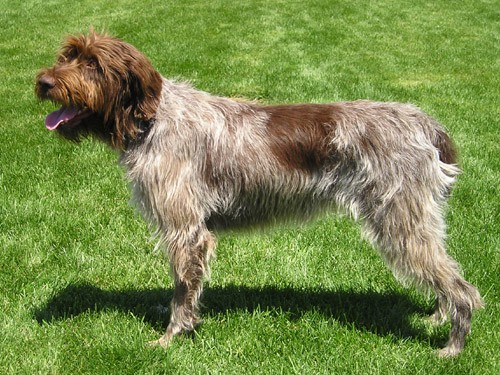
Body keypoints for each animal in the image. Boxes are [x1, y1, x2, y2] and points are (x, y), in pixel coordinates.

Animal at [34, 30, 480, 356]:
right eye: (67, 55)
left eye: (92, 64)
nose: (42, 82)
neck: (151, 119)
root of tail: (423, 122)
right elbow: (180, 284)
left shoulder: (187, 231)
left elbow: (183, 290)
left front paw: (171, 337)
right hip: (416, 223)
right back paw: (437, 318)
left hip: (400, 223)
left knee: (464, 290)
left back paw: (452, 346)